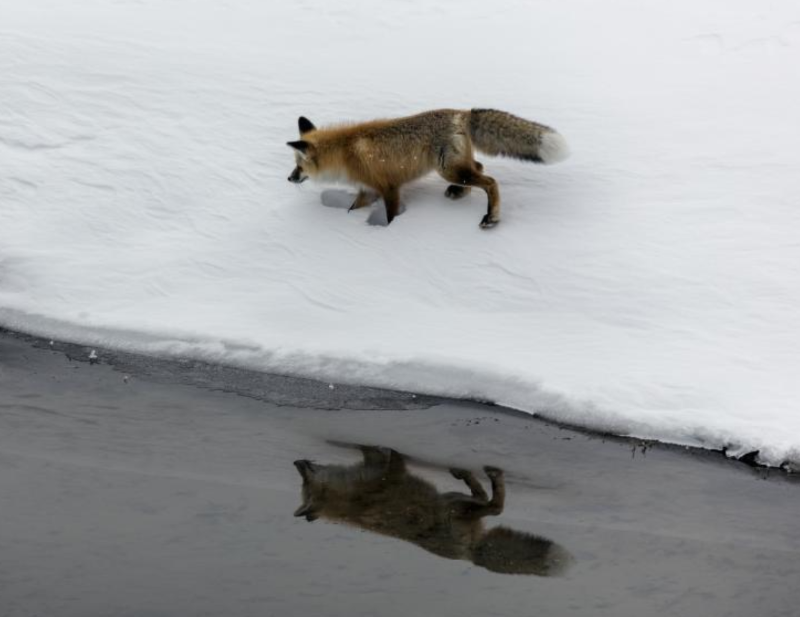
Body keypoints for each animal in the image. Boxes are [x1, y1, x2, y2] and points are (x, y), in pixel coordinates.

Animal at [286, 108, 569, 228]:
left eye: (298, 166)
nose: (289, 178)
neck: (345, 152)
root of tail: (462, 112)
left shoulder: (389, 187)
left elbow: (391, 215)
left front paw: (388, 231)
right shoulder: (367, 190)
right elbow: (353, 208)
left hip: (449, 169)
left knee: (490, 181)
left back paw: (492, 217)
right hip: (456, 168)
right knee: (479, 167)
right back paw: (458, 193)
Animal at [292, 446, 573, 576]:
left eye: (304, 482)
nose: (297, 461)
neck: (349, 498)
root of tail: (470, 554)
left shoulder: (377, 471)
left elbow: (375, 454)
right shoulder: (389, 476)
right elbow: (390, 458)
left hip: (452, 498)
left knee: (483, 498)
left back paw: (466, 474)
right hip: (455, 506)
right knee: (495, 507)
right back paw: (492, 477)